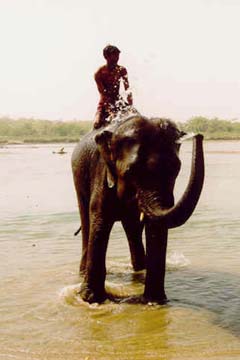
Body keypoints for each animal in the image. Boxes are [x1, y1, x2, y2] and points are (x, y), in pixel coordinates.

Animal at [71, 115, 204, 304]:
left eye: (176, 169)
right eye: (131, 171)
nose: (198, 135)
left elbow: (155, 226)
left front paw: (154, 302)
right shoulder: (102, 173)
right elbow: (100, 220)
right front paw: (91, 300)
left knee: (132, 229)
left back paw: (140, 269)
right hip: (78, 179)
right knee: (87, 220)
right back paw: (82, 274)